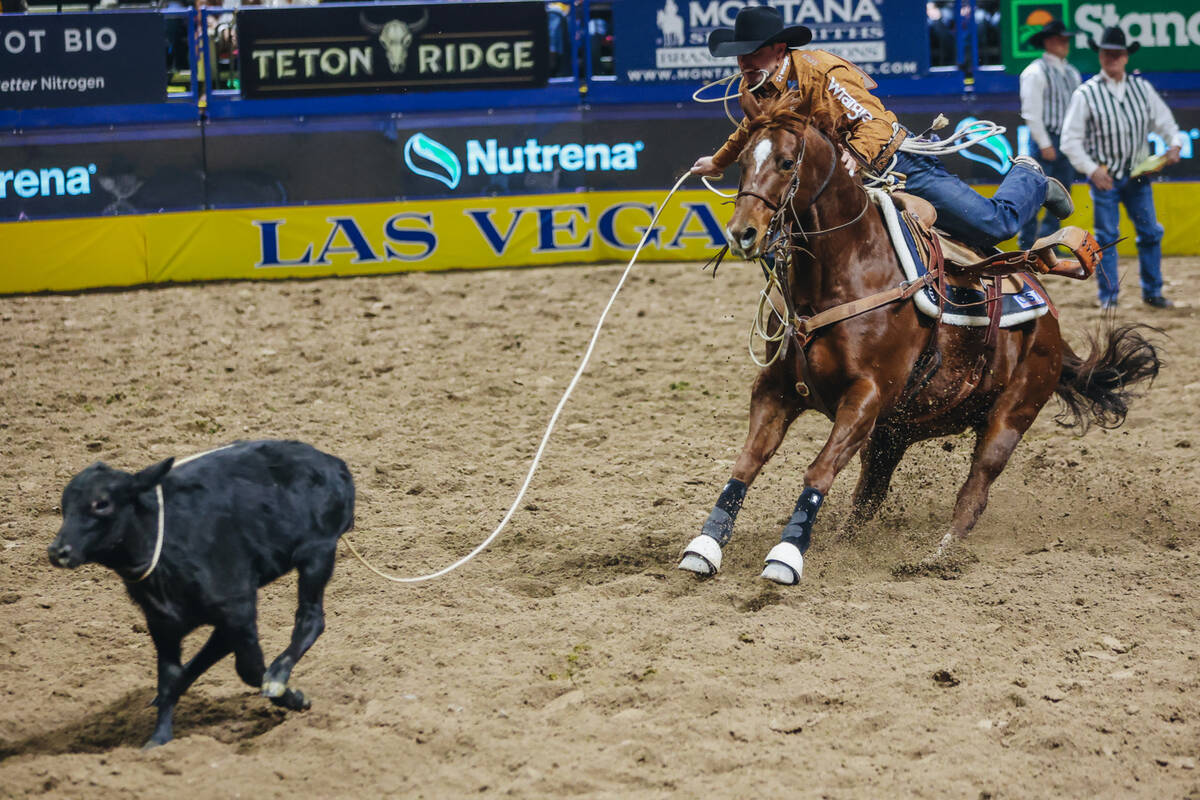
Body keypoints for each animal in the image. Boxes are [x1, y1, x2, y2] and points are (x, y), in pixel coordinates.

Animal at [48, 441, 355, 748]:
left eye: (101, 503)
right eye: (65, 506)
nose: (57, 551)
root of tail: (331, 461)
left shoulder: (238, 610)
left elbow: (249, 668)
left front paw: (293, 697)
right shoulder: (163, 625)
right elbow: (171, 677)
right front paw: (159, 739)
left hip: (317, 554)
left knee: (310, 618)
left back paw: (278, 676)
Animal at [686, 90, 1161, 585]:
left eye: (784, 161)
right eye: (742, 160)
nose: (742, 233)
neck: (846, 268)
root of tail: (1050, 322)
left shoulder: (866, 397)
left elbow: (818, 471)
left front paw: (786, 555)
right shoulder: (776, 389)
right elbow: (747, 462)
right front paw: (705, 546)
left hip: (1011, 416)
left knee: (974, 491)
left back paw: (938, 557)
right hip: (895, 433)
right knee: (868, 498)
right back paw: (843, 544)